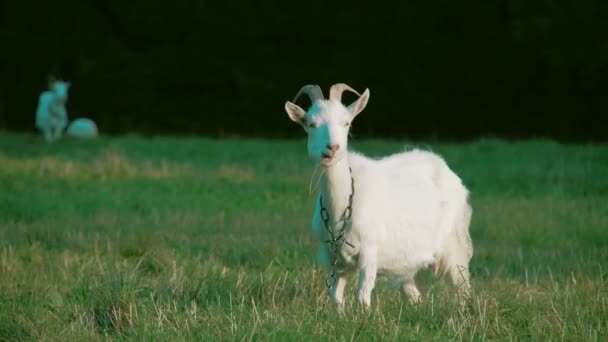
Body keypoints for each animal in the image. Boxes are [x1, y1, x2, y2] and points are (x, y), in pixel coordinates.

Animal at [284, 84, 476, 308]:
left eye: (346, 123)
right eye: (312, 124)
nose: (333, 148)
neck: (341, 206)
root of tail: (443, 167)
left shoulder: (369, 255)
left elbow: (362, 296)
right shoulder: (333, 260)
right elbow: (336, 298)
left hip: (454, 244)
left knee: (461, 286)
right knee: (415, 292)